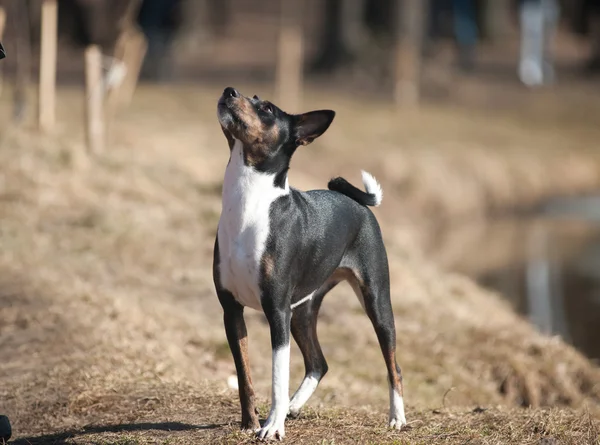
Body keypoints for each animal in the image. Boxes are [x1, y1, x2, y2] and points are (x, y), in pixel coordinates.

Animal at [213, 87, 406, 440]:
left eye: (267, 108)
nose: (229, 90)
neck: (249, 205)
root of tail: (355, 201)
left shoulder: (277, 311)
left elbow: (277, 376)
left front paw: (272, 427)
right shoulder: (231, 309)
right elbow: (244, 376)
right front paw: (250, 423)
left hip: (376, 302)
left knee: (393, 365)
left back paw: (397, 418)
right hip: (303, 311)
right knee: (319, 363)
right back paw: (292, 407)